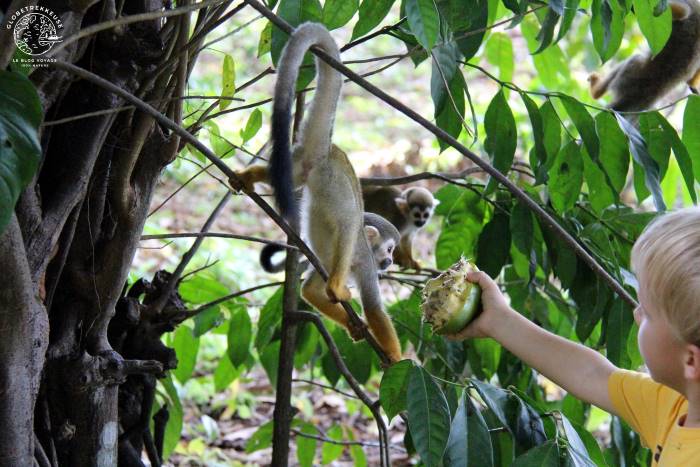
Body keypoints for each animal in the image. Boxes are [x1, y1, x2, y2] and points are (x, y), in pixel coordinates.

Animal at [230, 23, 402, 364]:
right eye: (389, 249)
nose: (390, 262)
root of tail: (326, 150)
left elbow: (309, 291)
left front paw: (355, 328)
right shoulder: (366, 262)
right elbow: (374, 307)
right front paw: (396, 357)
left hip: (298, 164)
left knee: (288, 175)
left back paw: (247, 177)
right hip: (333, 185)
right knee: (348, 222)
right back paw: (336, 284)